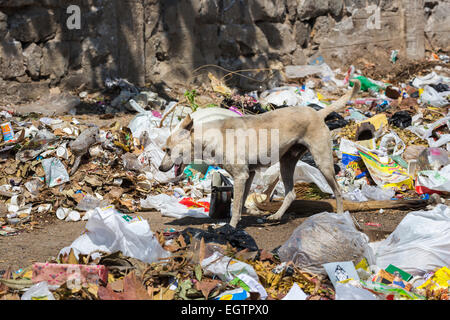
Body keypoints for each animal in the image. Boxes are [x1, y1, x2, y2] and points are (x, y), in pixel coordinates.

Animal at [160, 82, 360, 228]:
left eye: (168, 150)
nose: (161, 168)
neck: (212, 137)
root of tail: (318, 114)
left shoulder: (241, 176)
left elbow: (236, 204)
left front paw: (231, 226)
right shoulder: (248, 175)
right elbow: (240, 204)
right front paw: (248, 215)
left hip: (323, 163)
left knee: (338, 191)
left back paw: (340, 216)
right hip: (286, 163)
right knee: (291, 194)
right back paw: (276, 215)